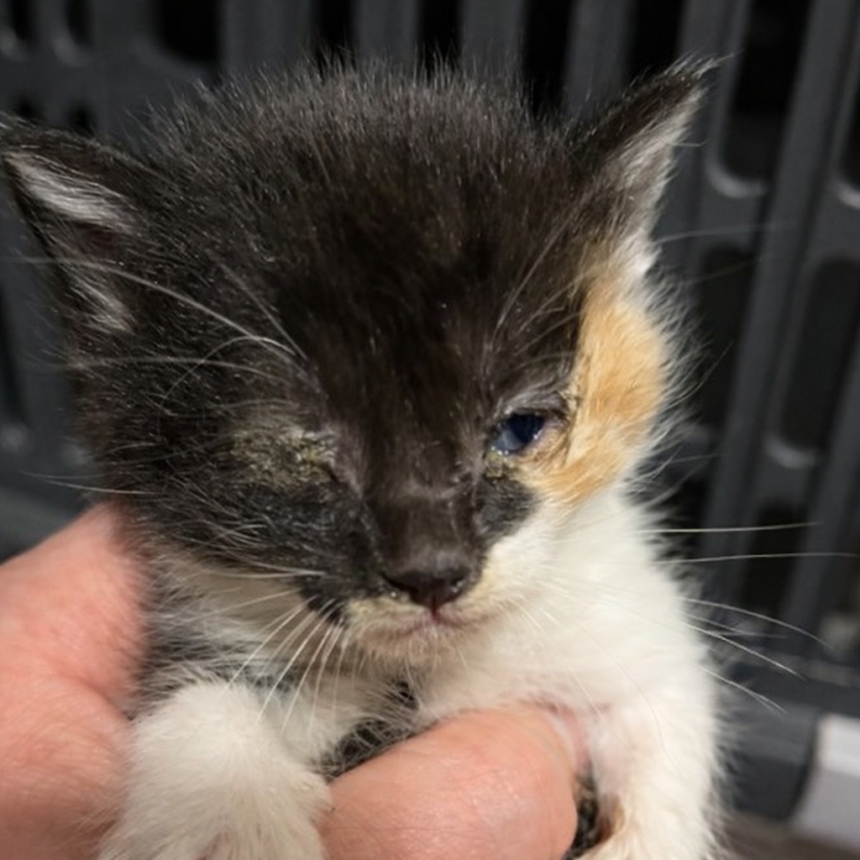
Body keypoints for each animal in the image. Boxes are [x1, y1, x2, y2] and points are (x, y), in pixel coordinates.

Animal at [1, 61, 720, 859]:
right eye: (299, 447)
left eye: (521, 428)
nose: (432, 572)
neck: (429, 667)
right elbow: (199, 696)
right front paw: (224, 812)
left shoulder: (631, 625)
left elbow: (666, 708)